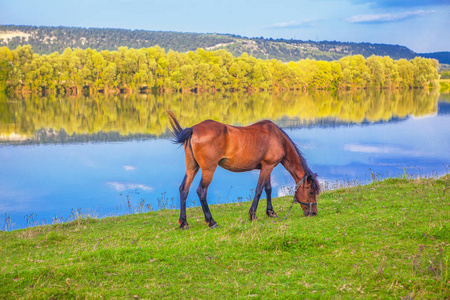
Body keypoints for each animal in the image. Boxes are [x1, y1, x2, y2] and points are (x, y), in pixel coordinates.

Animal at [168, 111, 320, 229]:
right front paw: (252, 215)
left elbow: (268, 189)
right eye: (311, 191)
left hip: (192, 167)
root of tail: (193, 129)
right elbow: (259, 190)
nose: (313, 213)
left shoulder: (267, 167)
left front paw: (271, 212)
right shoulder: (267, 167)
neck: (278, 139)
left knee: (184, 189)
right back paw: (211, 221)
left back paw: (184, 223)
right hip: (208, 170)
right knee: (201, 191)